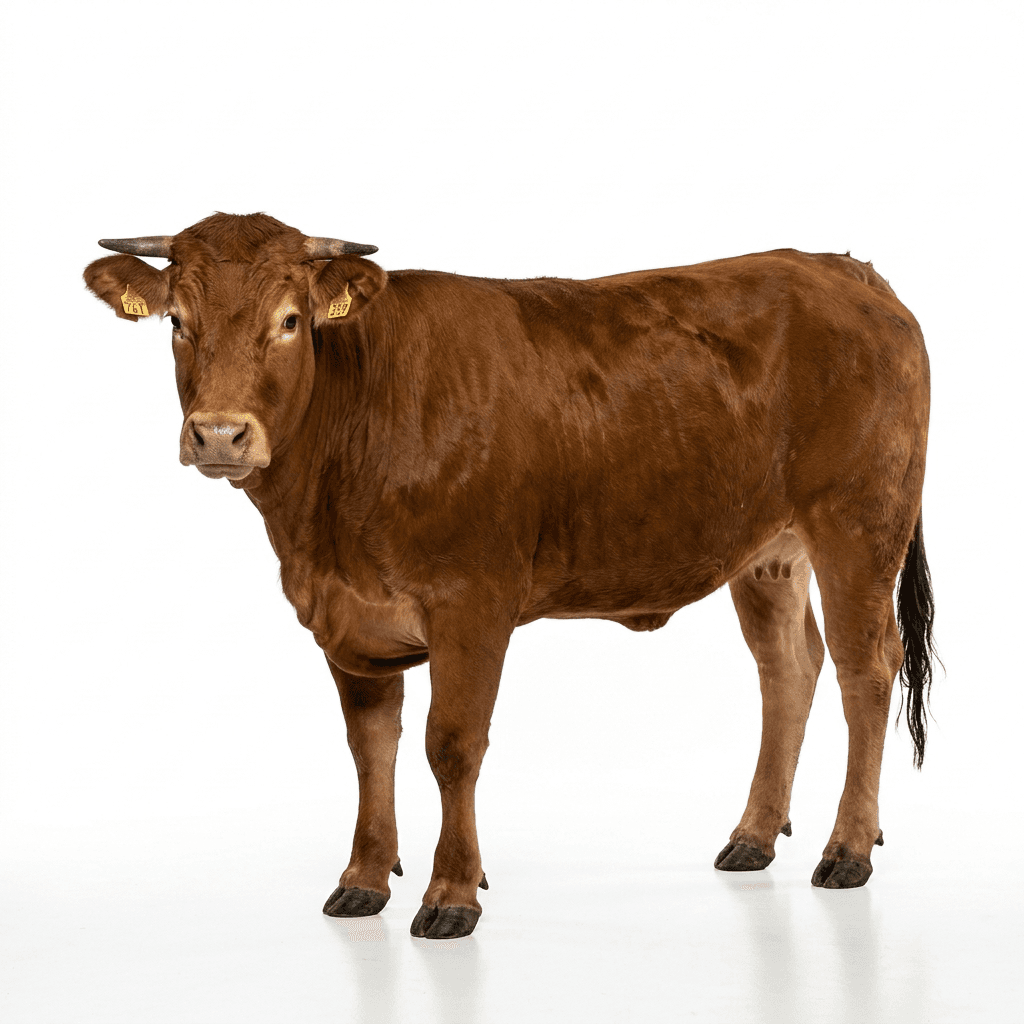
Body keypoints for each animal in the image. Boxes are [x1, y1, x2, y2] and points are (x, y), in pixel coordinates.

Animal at [83, 212, 937, 939]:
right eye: (176, 321)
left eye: (289, 321)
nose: (219, 433)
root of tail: (838, 267)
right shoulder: (345, 617)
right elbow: (370, 748)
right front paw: (363, 879)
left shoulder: (473, 603)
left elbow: (451, 744)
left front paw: (452, 894)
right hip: (768, 551)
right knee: (789, 668)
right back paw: (754, 835)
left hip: (860, 524)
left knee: (867, 668)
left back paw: (847, 849)